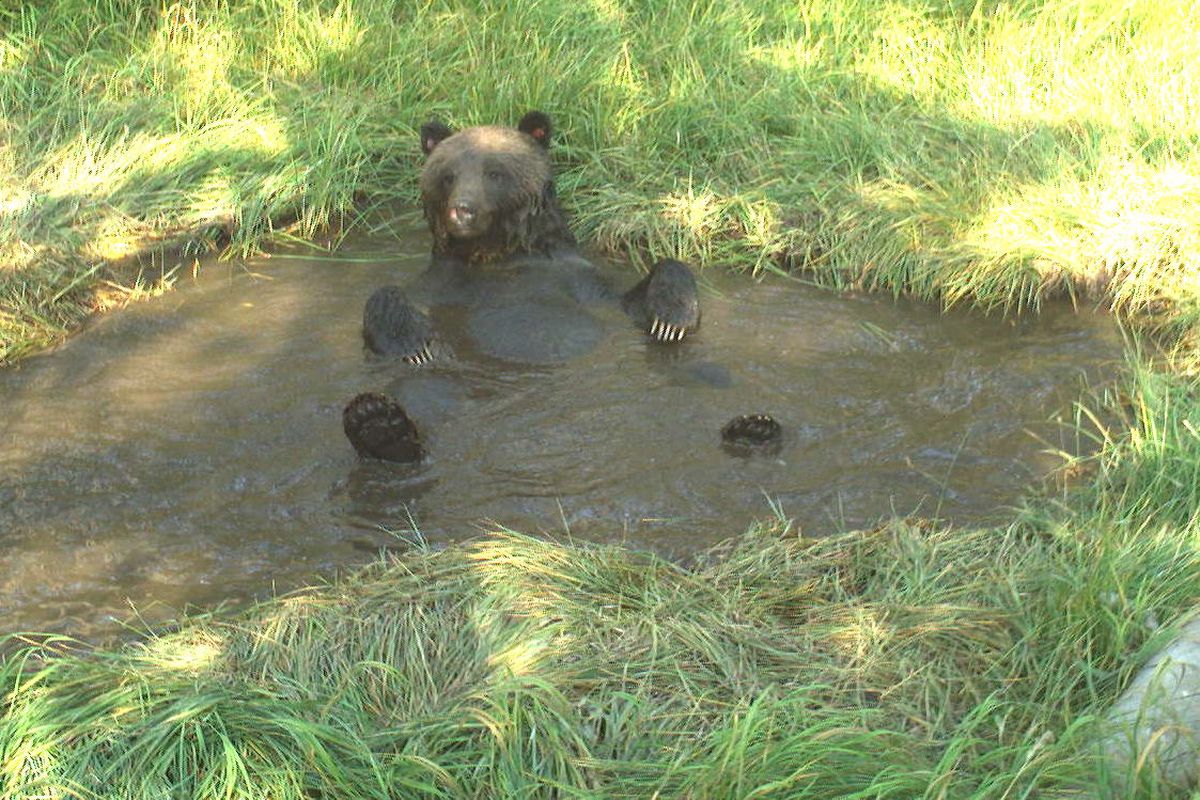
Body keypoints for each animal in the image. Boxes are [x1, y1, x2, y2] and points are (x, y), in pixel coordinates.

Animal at [343, 112, 700, 462]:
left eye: (494, 173)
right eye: (448, 175)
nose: (462, 211)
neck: (495, 253)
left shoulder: (577, 279)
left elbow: (635, 301)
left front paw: (671, 319)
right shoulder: (441, 283)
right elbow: (387, 301)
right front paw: (415, 343)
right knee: (421, 393)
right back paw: (375, 423)